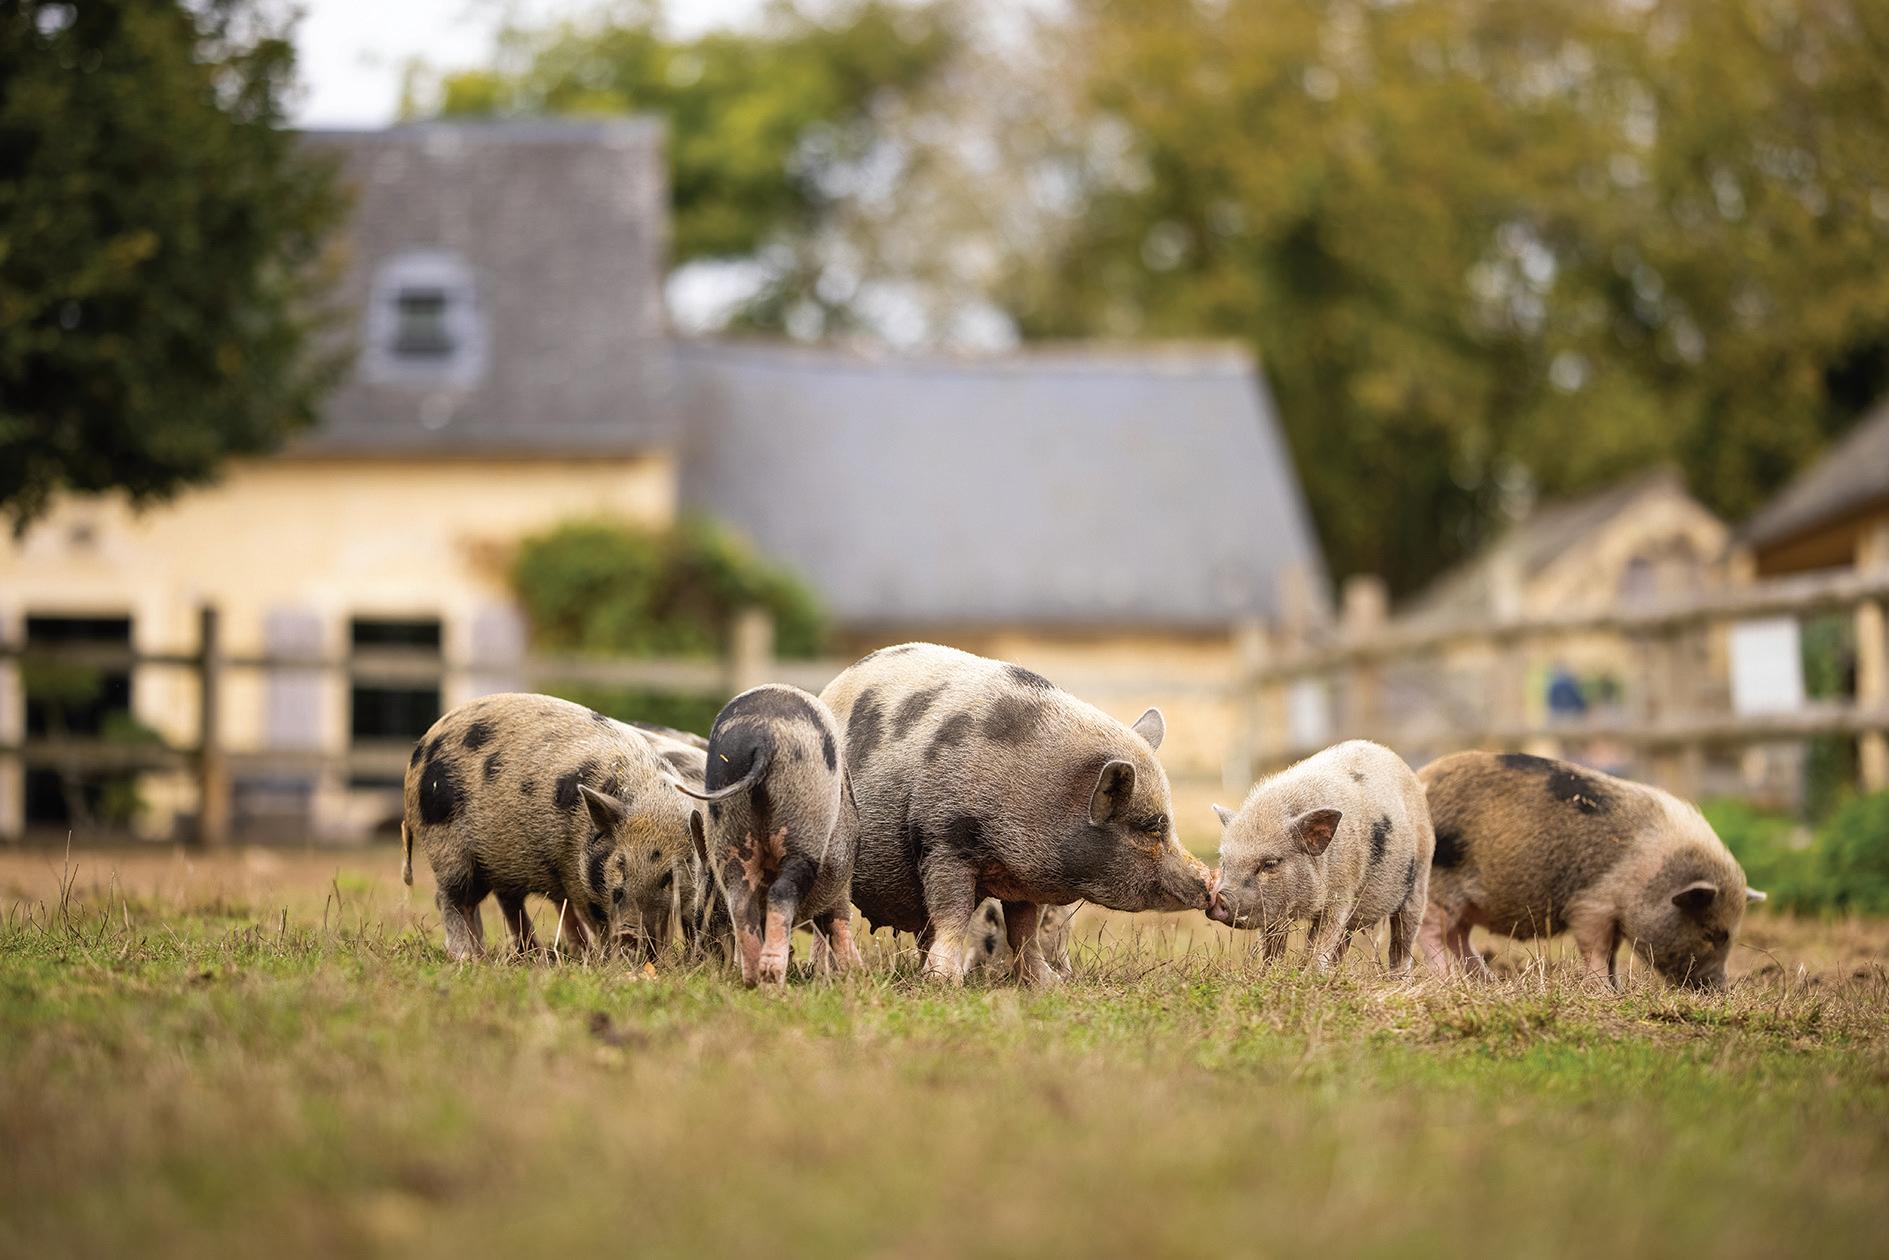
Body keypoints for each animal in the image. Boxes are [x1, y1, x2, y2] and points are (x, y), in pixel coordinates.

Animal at [398, 695, 702, 959]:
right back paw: (468, 958)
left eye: (669, 876)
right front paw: (607, 959)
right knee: (450, 899)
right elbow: (594, 917)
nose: (629, 936)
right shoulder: (574, 874)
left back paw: (518, 954)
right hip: (445, 842)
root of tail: (419, 750)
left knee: (499, 902)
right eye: (620, 864)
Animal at [676, 683, 861, 989]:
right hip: (802, 827)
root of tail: (762, 737)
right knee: (781, 893)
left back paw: (753, 979)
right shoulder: (839, 884)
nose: (700, 959)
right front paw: (853, 974)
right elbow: (839, 923)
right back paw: (773, 978)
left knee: (740, 901)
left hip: (730, 830)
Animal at [816, 642, 1208, 982]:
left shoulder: (1021, 881)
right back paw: (829, 975)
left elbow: (1023, 932)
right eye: (1150, 826)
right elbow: (954, 914)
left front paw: (1047, 985)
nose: (1208, 882)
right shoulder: (944, 840)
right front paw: (945, 983)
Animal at [1208, 740, 1428, 974]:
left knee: (1402, 941)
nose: (1219, 897)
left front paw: (1309, 974)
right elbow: (1273, 945)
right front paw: (1267, 972)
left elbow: (1320, 940)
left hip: (1419, 882)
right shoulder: (1274, 912)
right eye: (1224, 862)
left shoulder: (1342, 893)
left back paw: (1398, 977)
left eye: (1270, 863)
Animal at [1420, 755, 1768, 989]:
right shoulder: (1592, 905)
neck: (1649, 874)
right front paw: (1605, 992)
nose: (1722, 990)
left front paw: (1617, 989)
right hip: (1439, 886)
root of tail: (1421, 777)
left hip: (1466, 902)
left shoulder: (1614, 918)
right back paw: (1445, 980)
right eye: (1711, 934)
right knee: (1433, 932)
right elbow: (1596, 948)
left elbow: (1613, 953)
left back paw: (1487, 981)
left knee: (1458, 936)